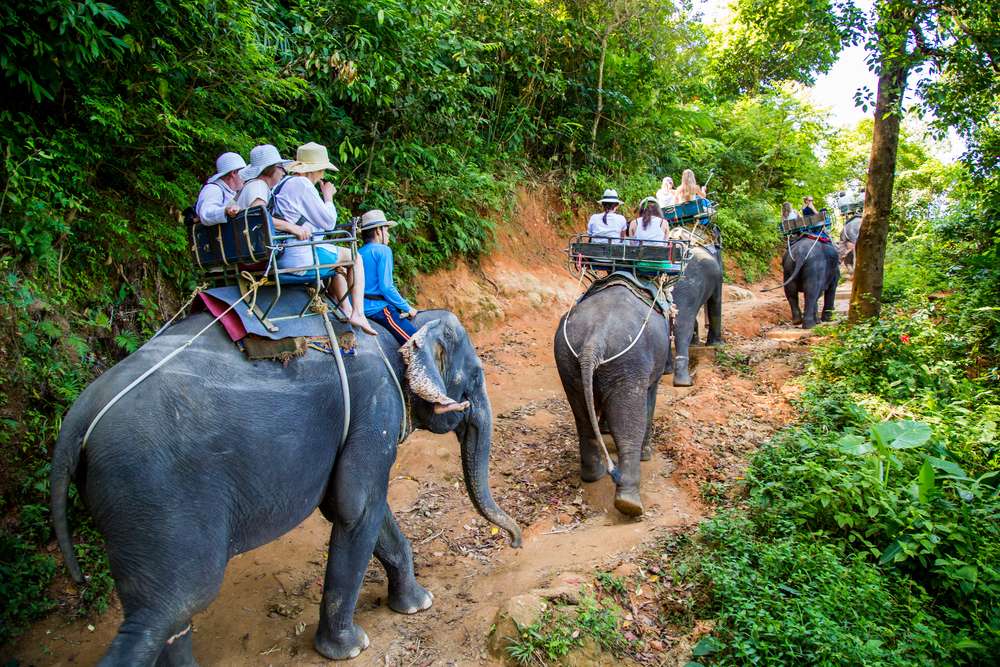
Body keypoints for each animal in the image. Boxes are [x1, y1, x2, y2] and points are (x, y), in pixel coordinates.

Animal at [50, 310, 520, 666]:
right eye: (475, 377)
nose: (514, 542)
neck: (394, 327)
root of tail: (77, 420)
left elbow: (361, 507)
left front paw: (418, 604)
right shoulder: (375, 403)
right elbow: (356, 507)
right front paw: (350, 648)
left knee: (170, 616)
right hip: (154, 495)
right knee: (170, 607)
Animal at [554, 282, 670, 517]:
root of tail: (593, 340)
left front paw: (604, 428)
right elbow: (650, 399)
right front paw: (647, 454)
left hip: (567, 363)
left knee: (582, 419)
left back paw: (594, 475)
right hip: (628, 363)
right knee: (629, 426)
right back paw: (630, 503)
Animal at [668, 242, 724, 386]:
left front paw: (695, 344)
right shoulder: (718, 278)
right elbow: (715, 302)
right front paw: (718, 344)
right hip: (688, 289)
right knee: (684, 325)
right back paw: (684, 382)